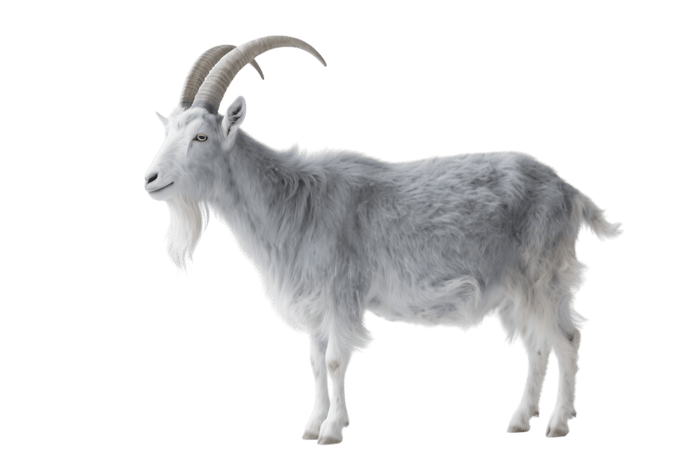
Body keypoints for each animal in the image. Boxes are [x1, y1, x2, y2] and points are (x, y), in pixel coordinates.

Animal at [143, 35, 623, 445]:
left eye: (201, 136)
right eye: (168, 132)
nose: (151, 179)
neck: (296, 199)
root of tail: (569, 191)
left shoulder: (341, 292)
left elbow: (336, 359)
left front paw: (331, 431)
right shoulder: (315, 302)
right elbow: (315, 362)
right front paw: (311, 426)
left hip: (543, 276)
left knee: (566, 338)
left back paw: (557, 425)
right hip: (514, 289)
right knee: (536, 346)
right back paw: (521, 420)